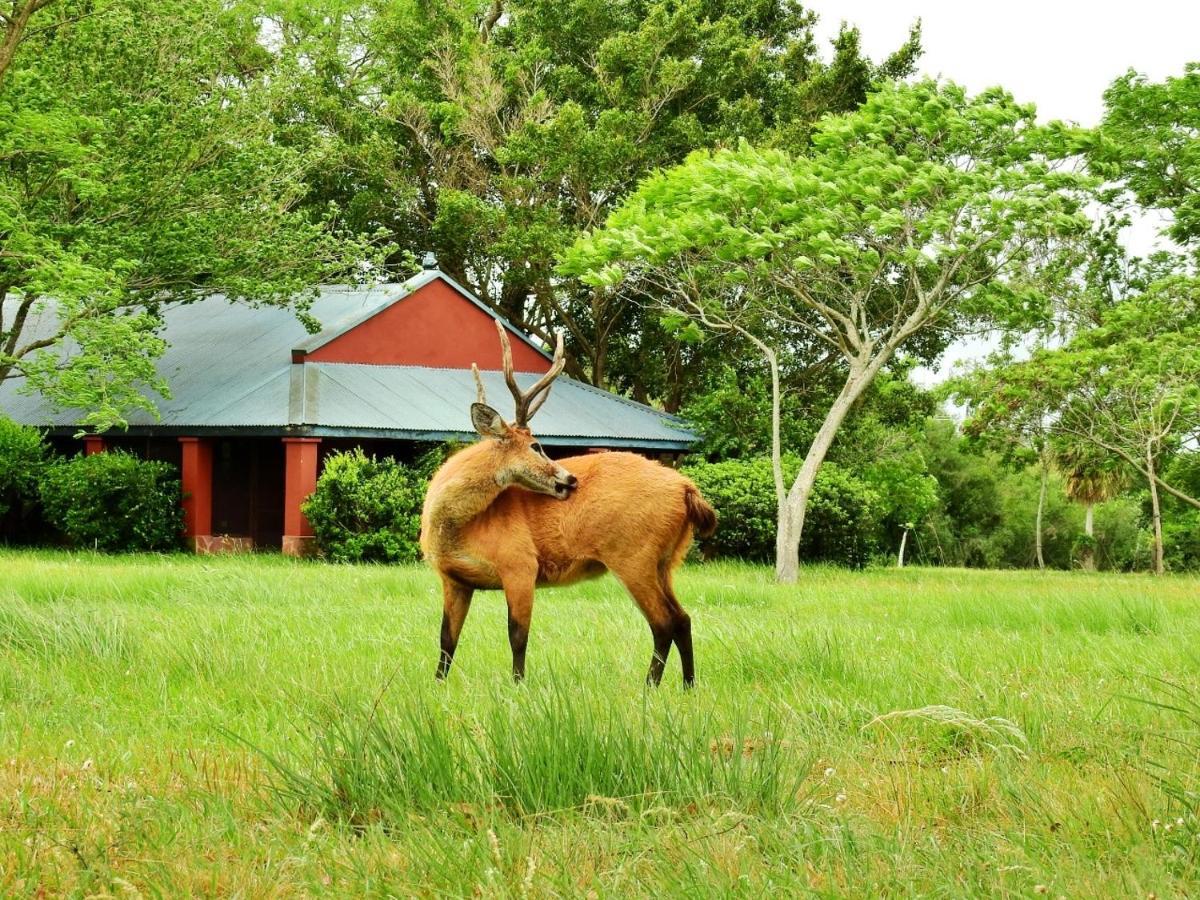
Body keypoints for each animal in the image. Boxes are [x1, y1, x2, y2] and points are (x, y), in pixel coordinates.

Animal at [422, 321, 710, 681]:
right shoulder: (453, 578)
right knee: (682, 618)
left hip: (634, 555)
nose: (570, 479)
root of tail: (686, 488)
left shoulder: (520, 564)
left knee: (663, 623)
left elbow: (517, 636)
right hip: (666, 561)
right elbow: (446, 639)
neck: (456, 528)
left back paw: (649, 687)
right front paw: (438, 685)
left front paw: (518, 685)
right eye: (536, 446)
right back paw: (688, 685)